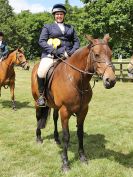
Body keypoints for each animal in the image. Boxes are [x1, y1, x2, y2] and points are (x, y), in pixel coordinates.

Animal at [30, 34, 115, 171]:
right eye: (96, 55)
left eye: (111, 54)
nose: (111, 81)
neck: (76, 80)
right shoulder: (65, 111)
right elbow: (66, 136)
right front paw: (65, 163)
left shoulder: (83, 110)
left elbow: (80, 133)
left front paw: (82, 157)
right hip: (37, 102)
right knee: (38, 118)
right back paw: (38, 138)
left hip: (56, 106)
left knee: (54, 118)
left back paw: (56, 139)